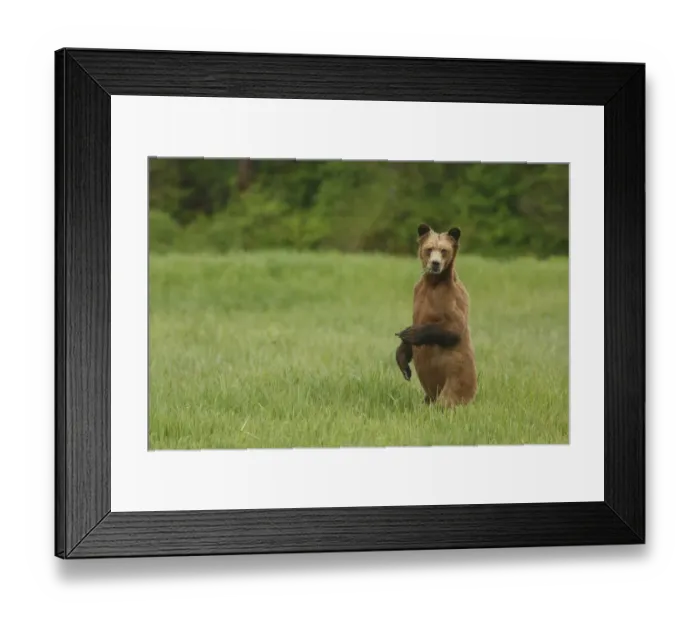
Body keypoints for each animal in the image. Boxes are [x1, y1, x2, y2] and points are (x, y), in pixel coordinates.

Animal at [394, 222, 478, 407]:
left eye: (444, 250)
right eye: (429, 248)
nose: (435, 263)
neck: (433, 283)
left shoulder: (451, 299)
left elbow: (454, 328)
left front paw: (409, 333)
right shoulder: (418, 293)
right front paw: (404, 364)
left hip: (456, 378)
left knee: (448, 399)